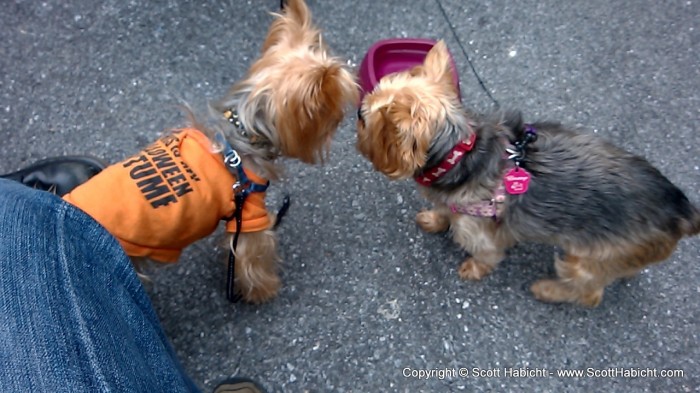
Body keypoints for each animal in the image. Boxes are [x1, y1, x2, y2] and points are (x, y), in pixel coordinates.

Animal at [63, 0, 358, 304]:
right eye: (333, 114)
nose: (349, 117)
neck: (243, 131)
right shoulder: (248, 213)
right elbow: (251, 257)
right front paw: (264, 290)